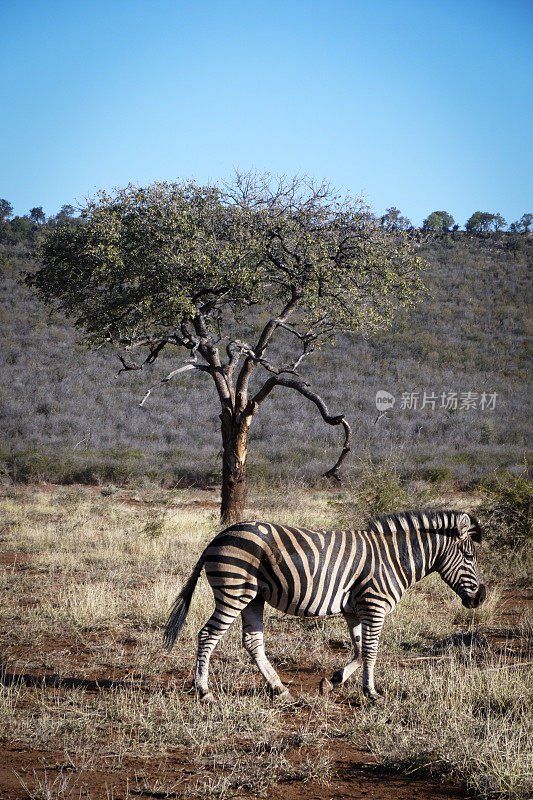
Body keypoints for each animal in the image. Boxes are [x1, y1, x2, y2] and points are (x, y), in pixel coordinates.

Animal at [164, 512, 484, 700]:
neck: (394, 559)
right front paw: (371, 693)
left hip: (253, 597)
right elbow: (371, 651)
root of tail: (217, 537)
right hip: (234, 592)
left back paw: (279, 689)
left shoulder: (354, 609)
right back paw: (204, 691)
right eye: (469, 557)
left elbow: (359, 649)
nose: (480, 598)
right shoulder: (374, 605)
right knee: (207, 635)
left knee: (252, 641)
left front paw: (332, 681)